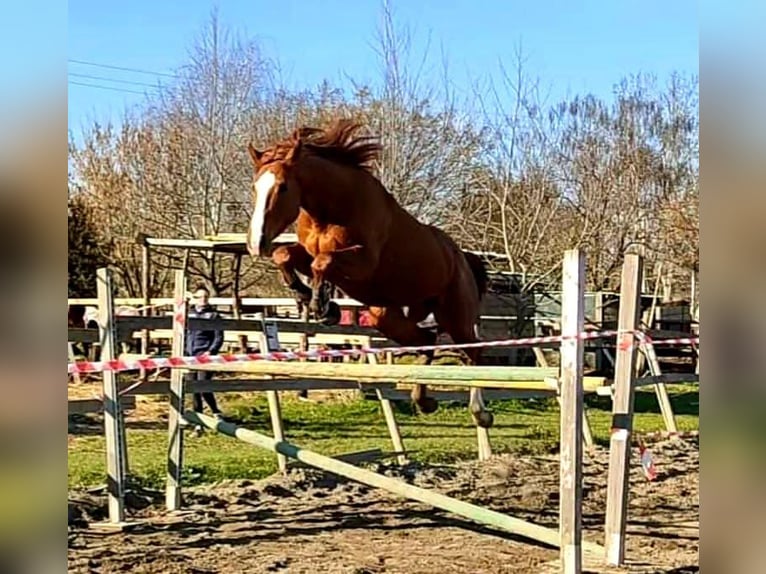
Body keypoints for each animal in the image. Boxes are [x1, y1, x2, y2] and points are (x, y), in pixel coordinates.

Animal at [249, 120, 496, 428]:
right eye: (255, 187)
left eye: (282, 187)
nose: (257, 243)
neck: (331, 209)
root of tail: (462, 257)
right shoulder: (308, 253)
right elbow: (287, 255)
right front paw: (309, 298)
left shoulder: (363, 263)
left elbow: (323, 262)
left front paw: (322, 306)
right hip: (386, 315)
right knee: (427, 341)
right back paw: (423, 401)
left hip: (455, 315)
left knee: (474, 351)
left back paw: (480, 412)